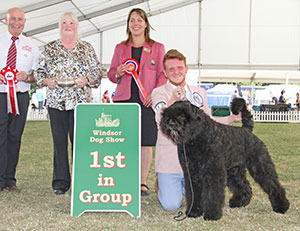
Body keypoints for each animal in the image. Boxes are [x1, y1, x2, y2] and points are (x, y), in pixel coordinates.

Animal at [161, 99, 290, 220]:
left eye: (182, 114)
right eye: (167, 113)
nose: (170, 122)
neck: (196, 136)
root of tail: (247, 130)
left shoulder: (213, 172)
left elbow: (213, 193)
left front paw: (212, 214)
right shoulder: (192, 174)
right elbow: (194, 194)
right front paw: (194, 211)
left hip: (259, 166)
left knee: (273, 184)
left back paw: (282, 206)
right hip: (234, 171)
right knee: (244, 186)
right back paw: (239, 202)